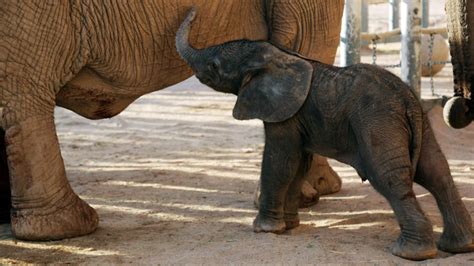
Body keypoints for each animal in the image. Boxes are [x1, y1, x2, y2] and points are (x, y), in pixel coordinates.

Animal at [0, 0, 344, 241]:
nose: (192, 13)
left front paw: (322, 190)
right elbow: (307, 40)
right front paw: (311, 196)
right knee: (25, 93)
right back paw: (69, 228)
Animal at [175, 9, 474, 260]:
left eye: (214, 66)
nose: (194, 11)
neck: (278, 56)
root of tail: (408, 101)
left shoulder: (284, 112)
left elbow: (280, 161)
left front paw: (265, 230)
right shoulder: (299, 117)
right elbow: (298, 164)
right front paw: (290, 226)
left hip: (378, 123)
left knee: (390, 178)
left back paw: (411, 253)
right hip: (419, 124)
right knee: (437, 173)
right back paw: (458, 247)